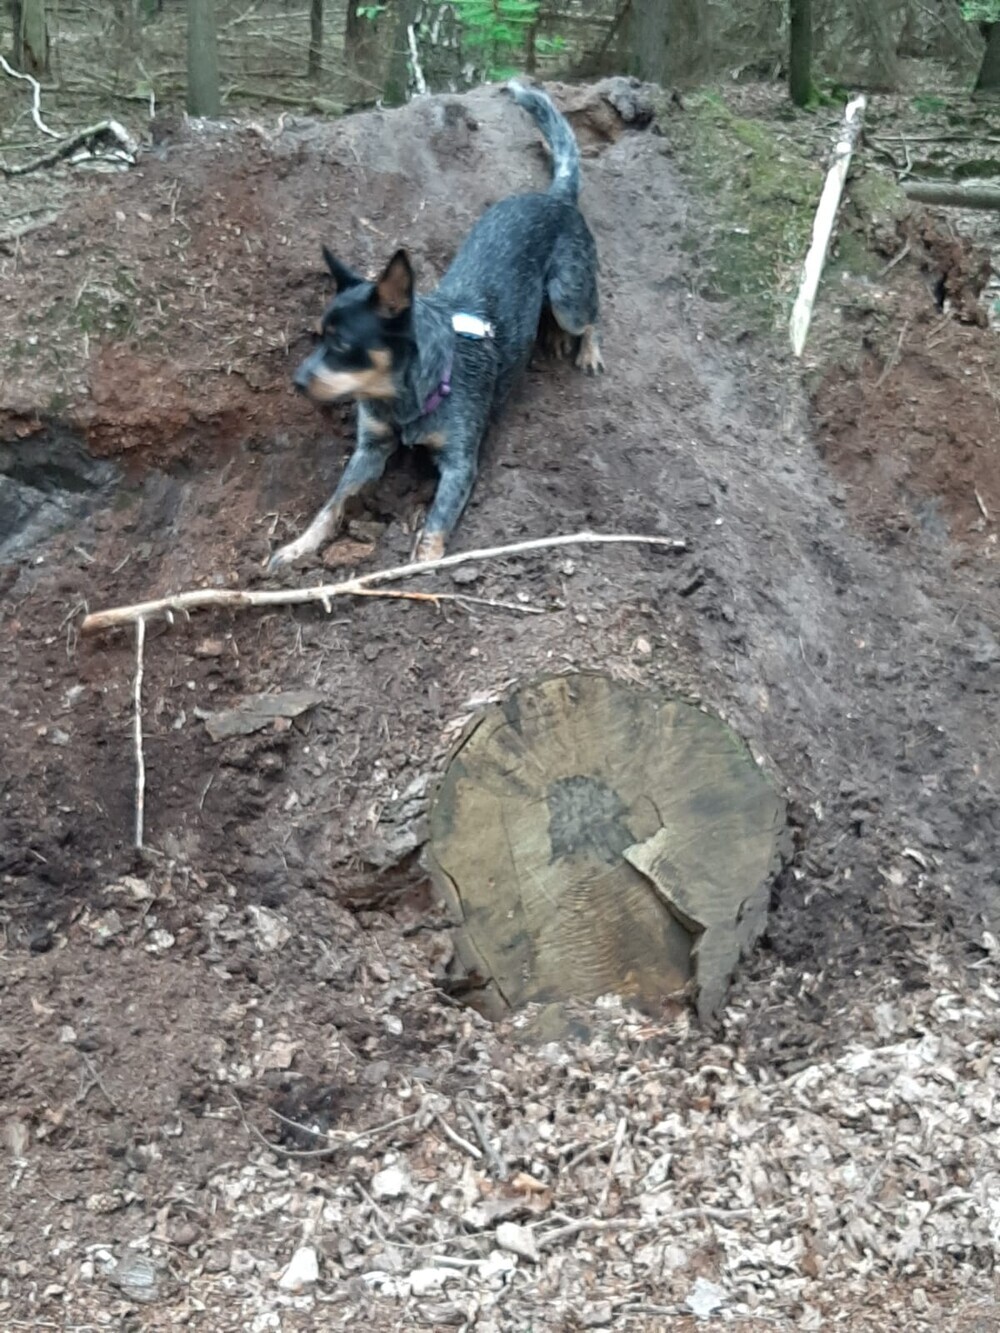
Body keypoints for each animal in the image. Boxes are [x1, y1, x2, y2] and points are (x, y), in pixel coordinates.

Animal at [266, 80, 604, 573]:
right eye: (318, 337)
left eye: (343, 344)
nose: (296, 381)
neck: (402, 398)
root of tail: (556, 196)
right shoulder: (369, 450)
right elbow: (331, 505)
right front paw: (299, 546)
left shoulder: (460, 463)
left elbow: (434, 524)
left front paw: (420, 563)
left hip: (568, 295)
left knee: (590, 313)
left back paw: (587, 349)